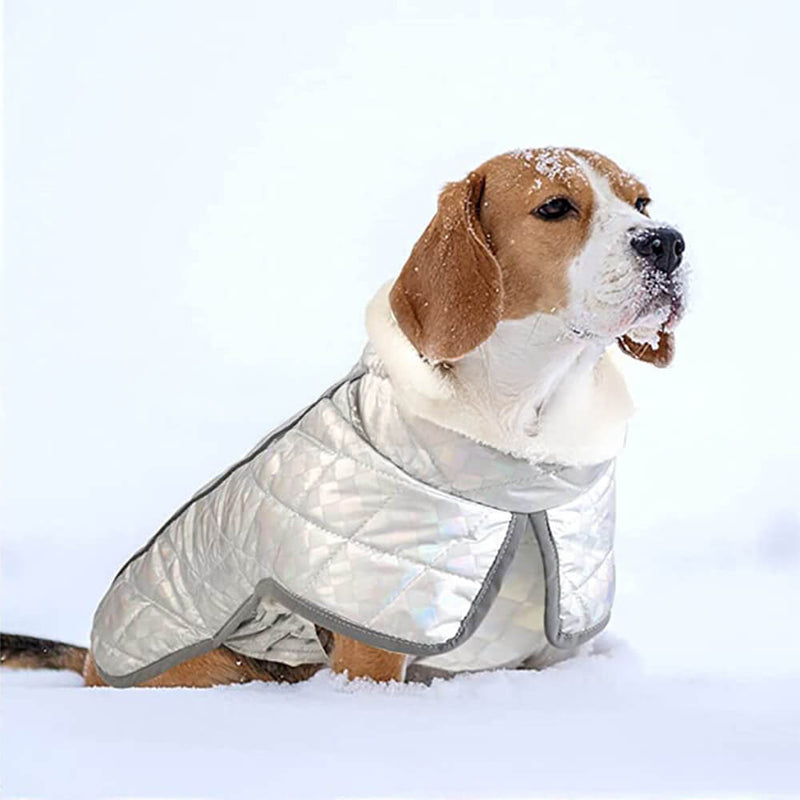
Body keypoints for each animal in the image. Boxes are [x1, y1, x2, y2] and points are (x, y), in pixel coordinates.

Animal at [0, 147, 688, 684]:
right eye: (555, 208)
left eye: (642, 201)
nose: (668, 242)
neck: (529, 429)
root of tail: (92, 662)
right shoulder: (374, 645)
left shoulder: (556, 643)